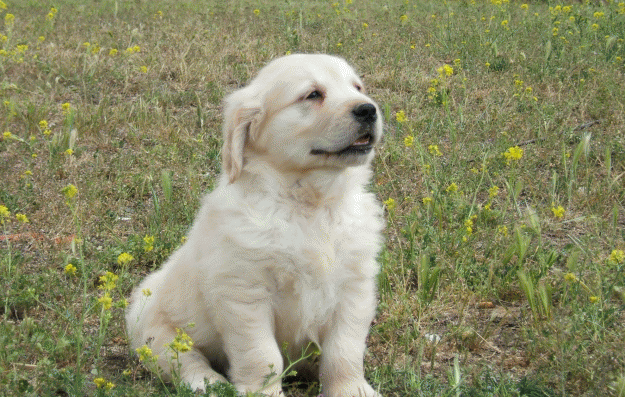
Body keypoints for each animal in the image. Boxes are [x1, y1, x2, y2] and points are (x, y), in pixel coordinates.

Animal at [125, 53, 382, 396]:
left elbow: (345, 349)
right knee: (184, 360)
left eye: (357, 87)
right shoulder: (245, 292)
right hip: (154, 331)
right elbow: (262, 355)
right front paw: (264, 391)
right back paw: (208, 383)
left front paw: (351, 389)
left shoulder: (355, 287)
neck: (309, 204)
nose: (368, 109)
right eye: (313, 94)